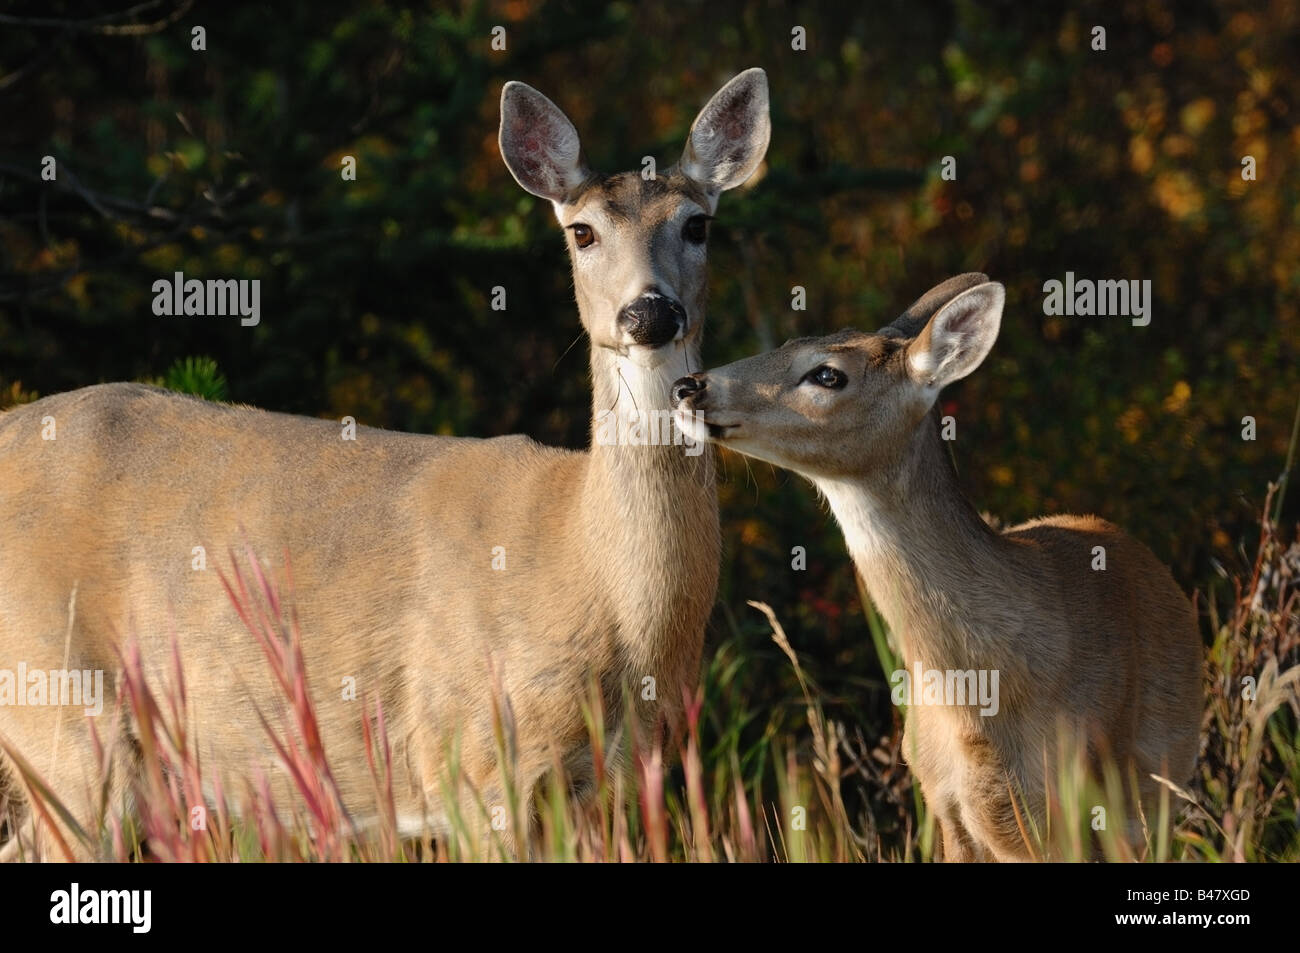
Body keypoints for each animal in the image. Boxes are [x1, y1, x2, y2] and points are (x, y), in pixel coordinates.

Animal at [0, 66, 769, 852]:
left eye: (698, 224)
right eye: (582, 231)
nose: (650, 313)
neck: (591, 570)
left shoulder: (602, 780)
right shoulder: (475, 756)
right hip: (58, 700)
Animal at [676, 271, 1201, 858]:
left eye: (827, 374)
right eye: (789, 341)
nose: (688, 386)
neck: (978, 699)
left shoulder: (1076, 796)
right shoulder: (942, 799)